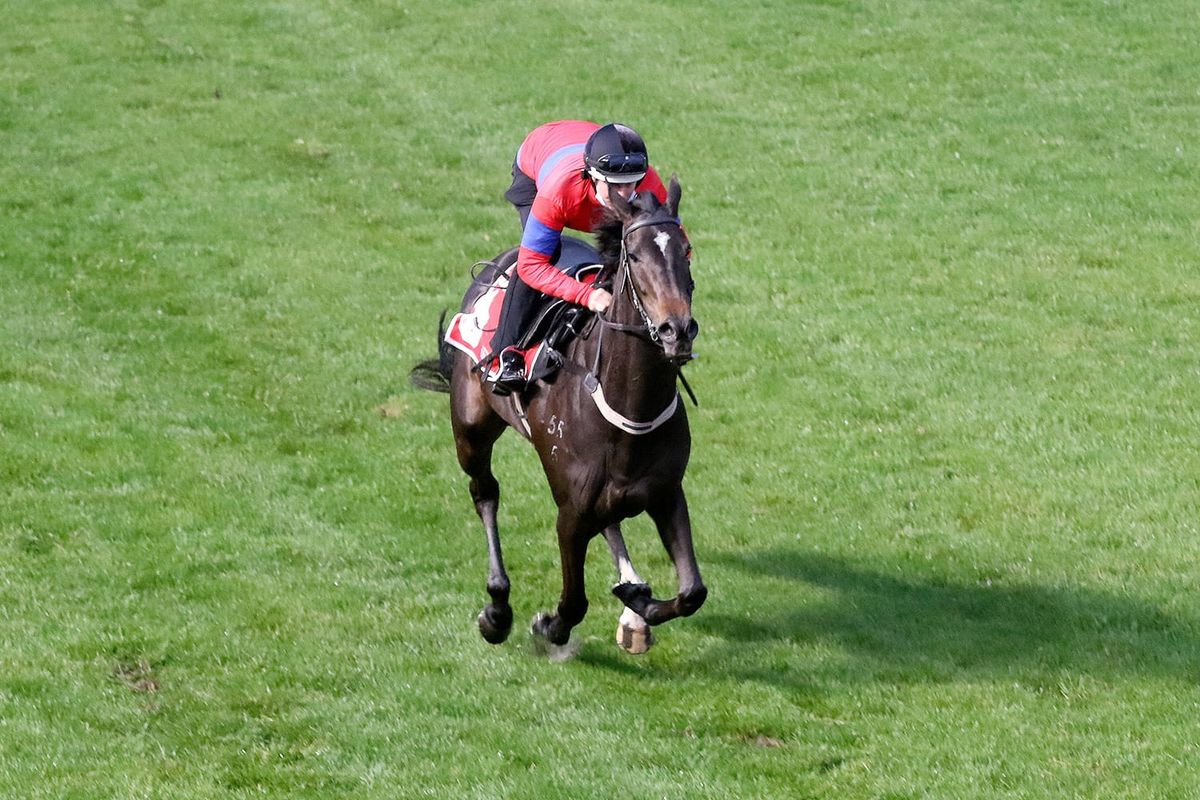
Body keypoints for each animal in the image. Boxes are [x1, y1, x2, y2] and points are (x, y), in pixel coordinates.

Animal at [410, 177, 706, 655]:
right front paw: (548, 626)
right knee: (485, 493)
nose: (676, 330)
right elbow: (574, 601)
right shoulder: (570, 513)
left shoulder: (665, 493)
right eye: (635, 254)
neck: (627, 409)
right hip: (471, 428)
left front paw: (637, 601)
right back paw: (497, 609)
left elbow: (692, 592)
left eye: (686, 249)